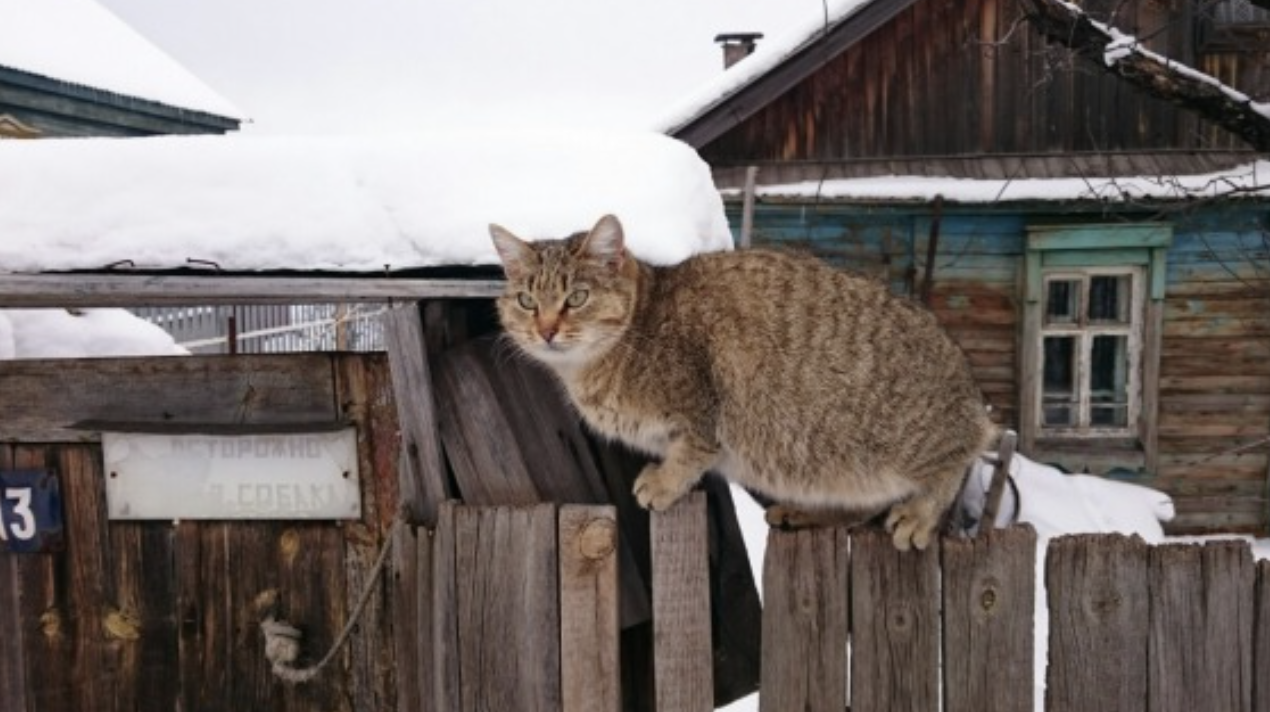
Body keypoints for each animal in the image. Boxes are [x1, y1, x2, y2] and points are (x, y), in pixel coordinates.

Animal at [490, 211, 995, 550]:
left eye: (576, 298)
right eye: (526, 300)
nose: (546, 330)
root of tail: (970, 388)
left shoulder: (702, 404)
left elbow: (692, 451)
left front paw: (664, 483)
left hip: (911, 440)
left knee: (957, 457)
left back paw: (919, 514)